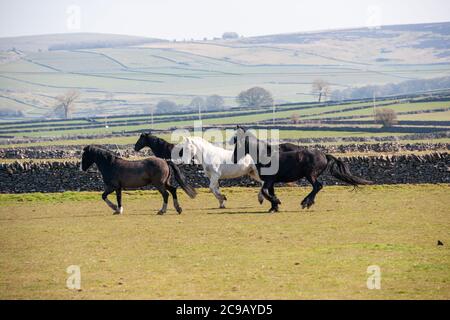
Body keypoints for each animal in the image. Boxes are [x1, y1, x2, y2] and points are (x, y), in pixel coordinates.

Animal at [230, 127, 370, 212]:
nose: (234, 159)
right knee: (317, 187)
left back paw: (305, 203)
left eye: (238, 144)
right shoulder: (271, 181)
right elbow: (270, 192)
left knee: (317, 186)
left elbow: (265, 192)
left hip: (310, 175)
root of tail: (324, 155)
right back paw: (307, 202)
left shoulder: (269, 180)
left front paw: (277, 203)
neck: (265, 155)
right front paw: (274, 208)